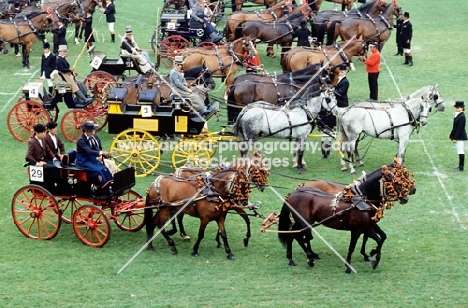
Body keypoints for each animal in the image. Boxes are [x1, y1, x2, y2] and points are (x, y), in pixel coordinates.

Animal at [276, 160, 414, 274]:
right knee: (299, 236)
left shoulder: (368, 226)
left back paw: (296, 258)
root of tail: (293, 193)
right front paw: (350, 266)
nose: (407, 197)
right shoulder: (357, 229)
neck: (363, 199)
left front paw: (372, 256)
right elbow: (354, 247)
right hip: (304, 222)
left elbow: (381, 238)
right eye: (397, 182)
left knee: (294, 235)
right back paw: (307, 257)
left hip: (303, 222)